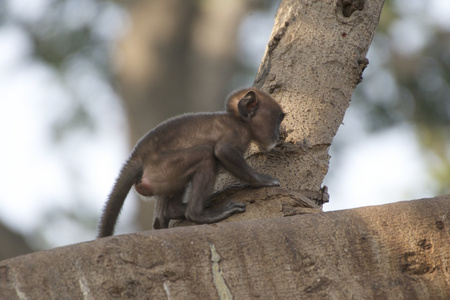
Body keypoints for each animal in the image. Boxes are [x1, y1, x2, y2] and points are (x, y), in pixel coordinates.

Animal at [99, 86, 284, 237]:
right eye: (278, 120)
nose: (278, 134)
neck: (238, 121)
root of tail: (137, 157)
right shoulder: (237, 133)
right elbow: (223, 151)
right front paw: (263, 181)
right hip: (161, 169)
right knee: (206, 155)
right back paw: (197, 214)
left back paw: (172, 213)